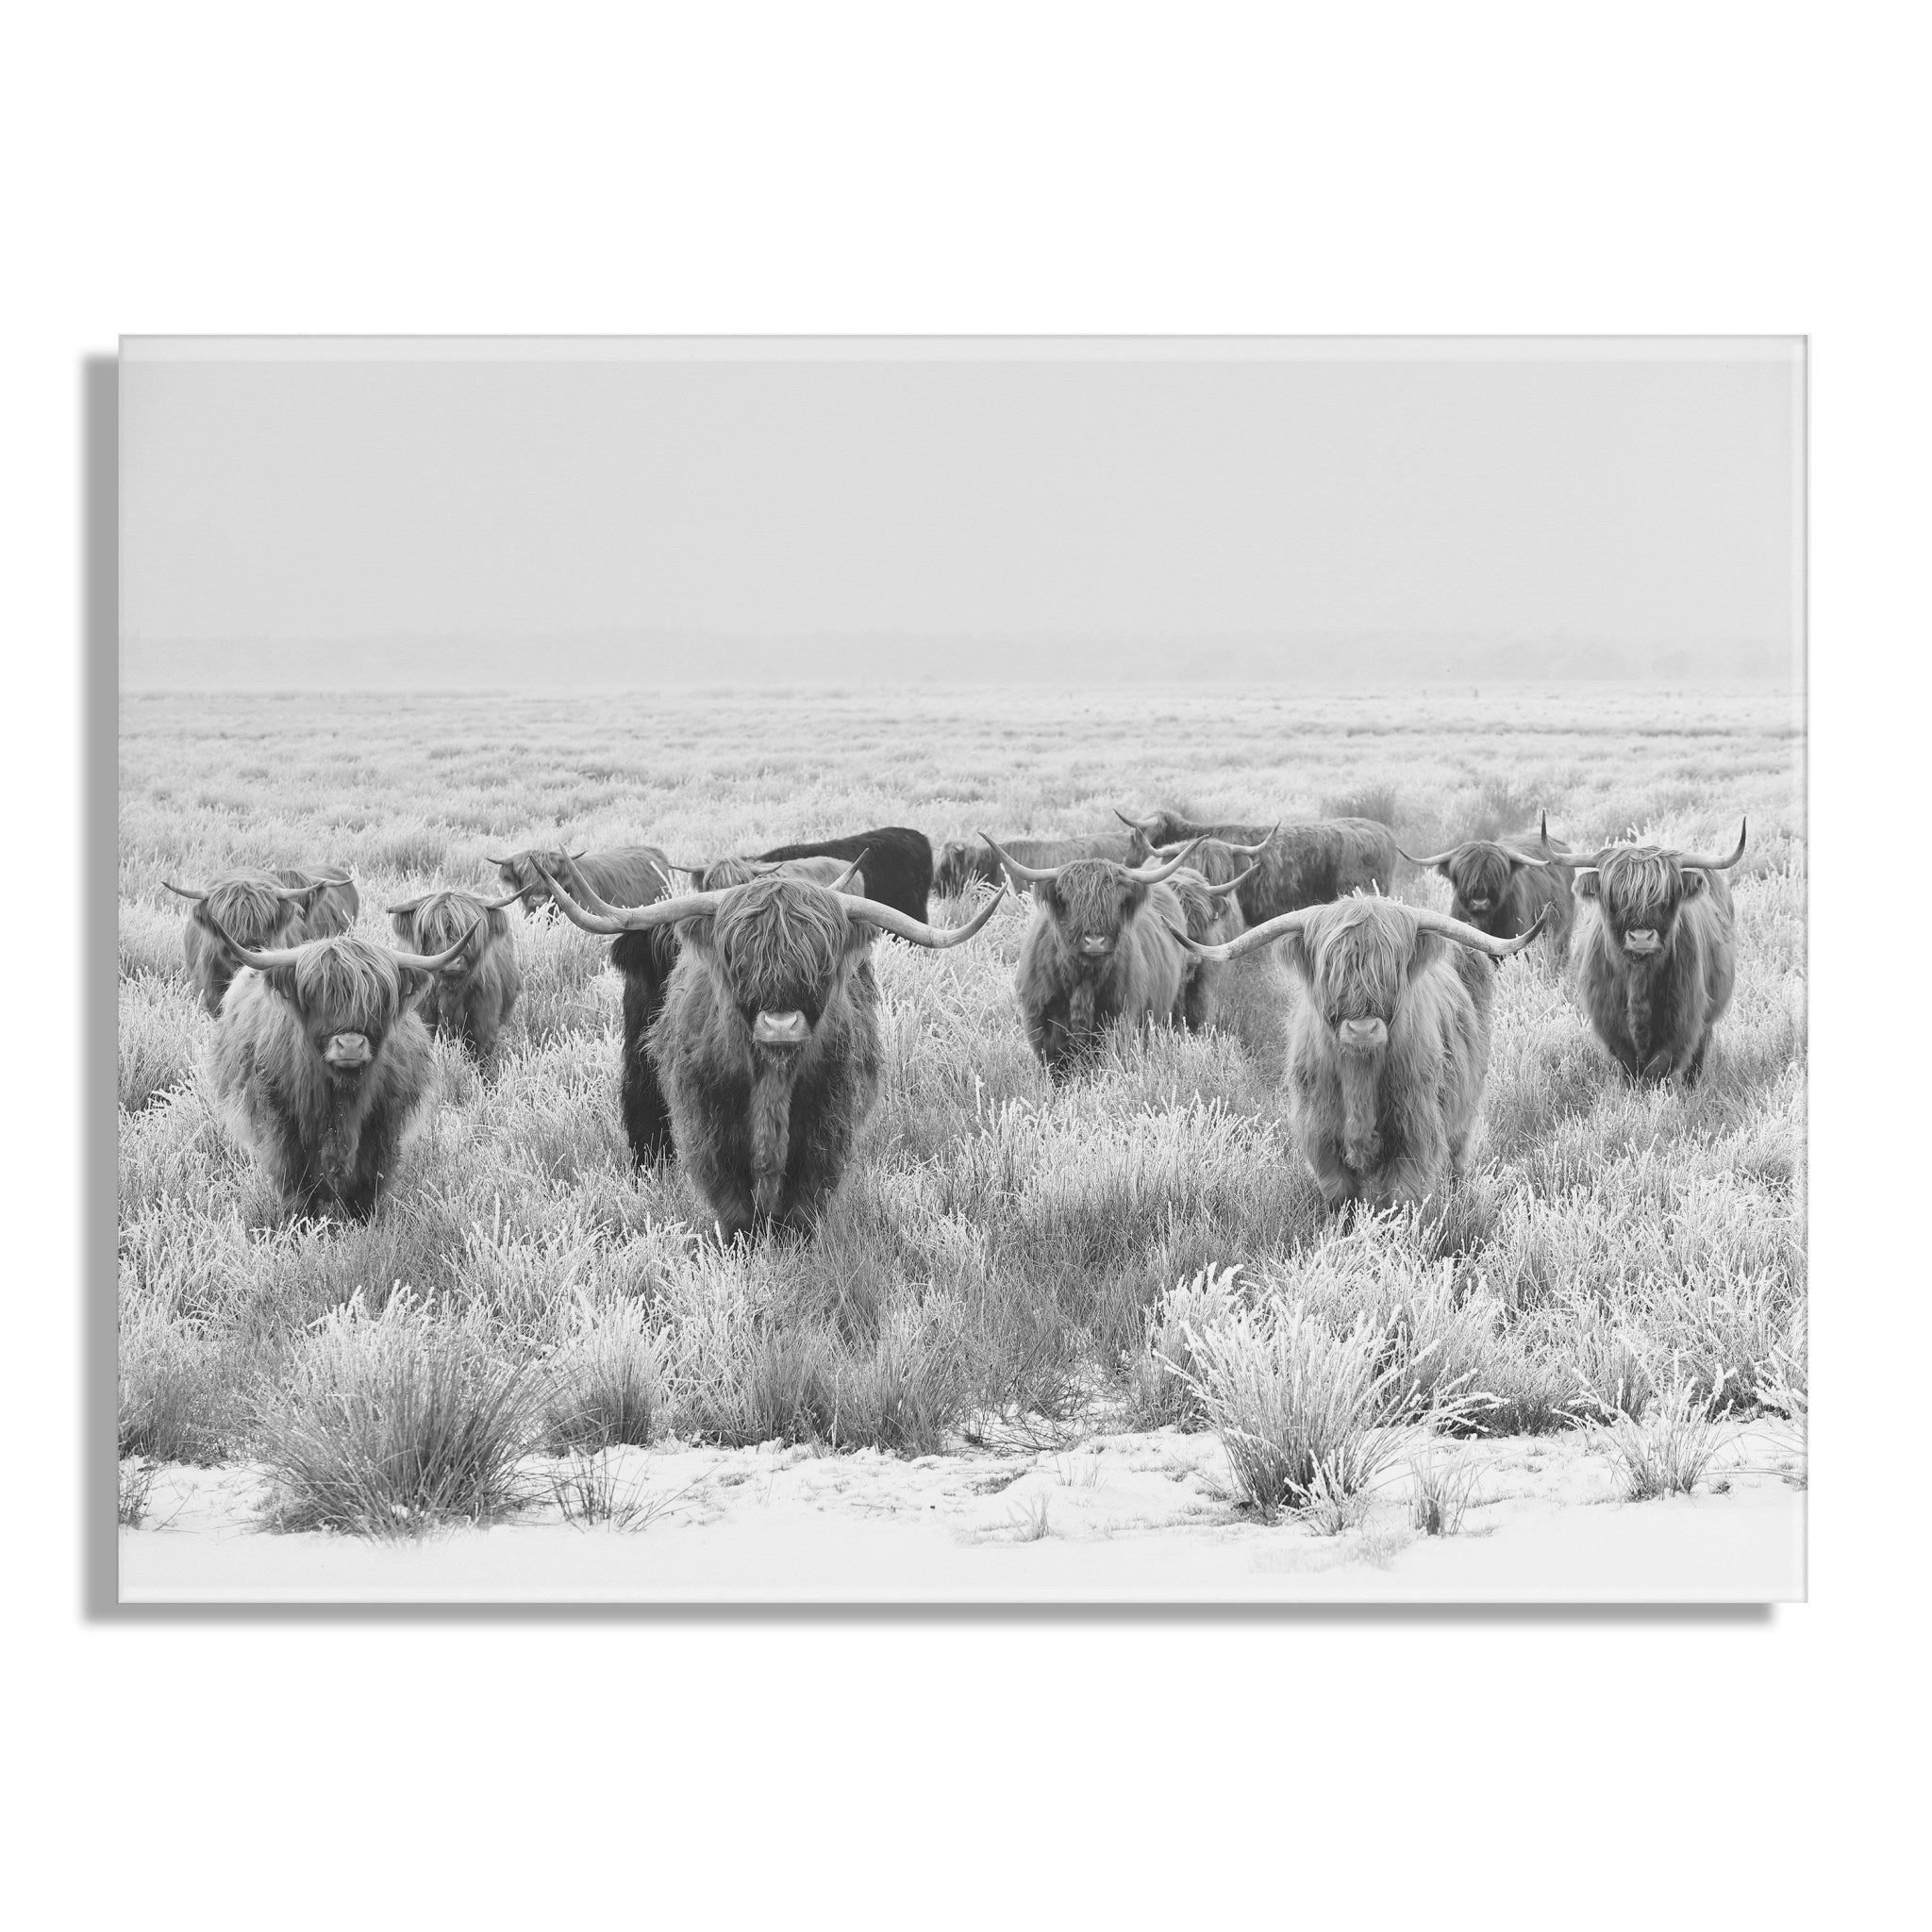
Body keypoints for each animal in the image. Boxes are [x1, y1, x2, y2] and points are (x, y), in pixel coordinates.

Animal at [203, 919, 477, 1220]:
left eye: (379, 998)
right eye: (315, 995)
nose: (351, 1045)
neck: (342, 1095)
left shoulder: (383, 1123)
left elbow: (368, 1181)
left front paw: (362, 1221)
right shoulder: (282, 1123)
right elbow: (295, 1181)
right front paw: (300, 1223)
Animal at [533, 858, 1002, 1240]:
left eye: (821, 958)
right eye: (737, 954)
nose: (781, 1024)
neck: (772, 1076)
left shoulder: (828, 1127)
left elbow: (803, 1205)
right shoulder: (710, 1128)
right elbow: (735, 1204)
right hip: (638, 1060)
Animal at [985, 835, 1210, 1082]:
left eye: (1117, 901)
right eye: (1067, 900)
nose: (1094, 941)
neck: (1083, 980)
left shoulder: (1118, 1021)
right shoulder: (1044, 1027)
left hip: (1174, 1005)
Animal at [1171, 895, 1544, 1210]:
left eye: (1392, 967)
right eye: (1330, 968)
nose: (1362, 1030)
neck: (1360, 1076)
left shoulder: (1414, 1135)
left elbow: (1400, 1203)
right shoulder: (1322, 1140)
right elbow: (1342, 1201)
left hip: (1464, 1112)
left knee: (1456, 1158)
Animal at [1567, 821, 1746, 1085]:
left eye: (1665, 897)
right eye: (1614, 897)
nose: (1641, 937)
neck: (1638, 976)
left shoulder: (1682, 1021)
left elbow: (1658, 1069)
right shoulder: (1611, 1024)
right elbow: (1631, 1068)